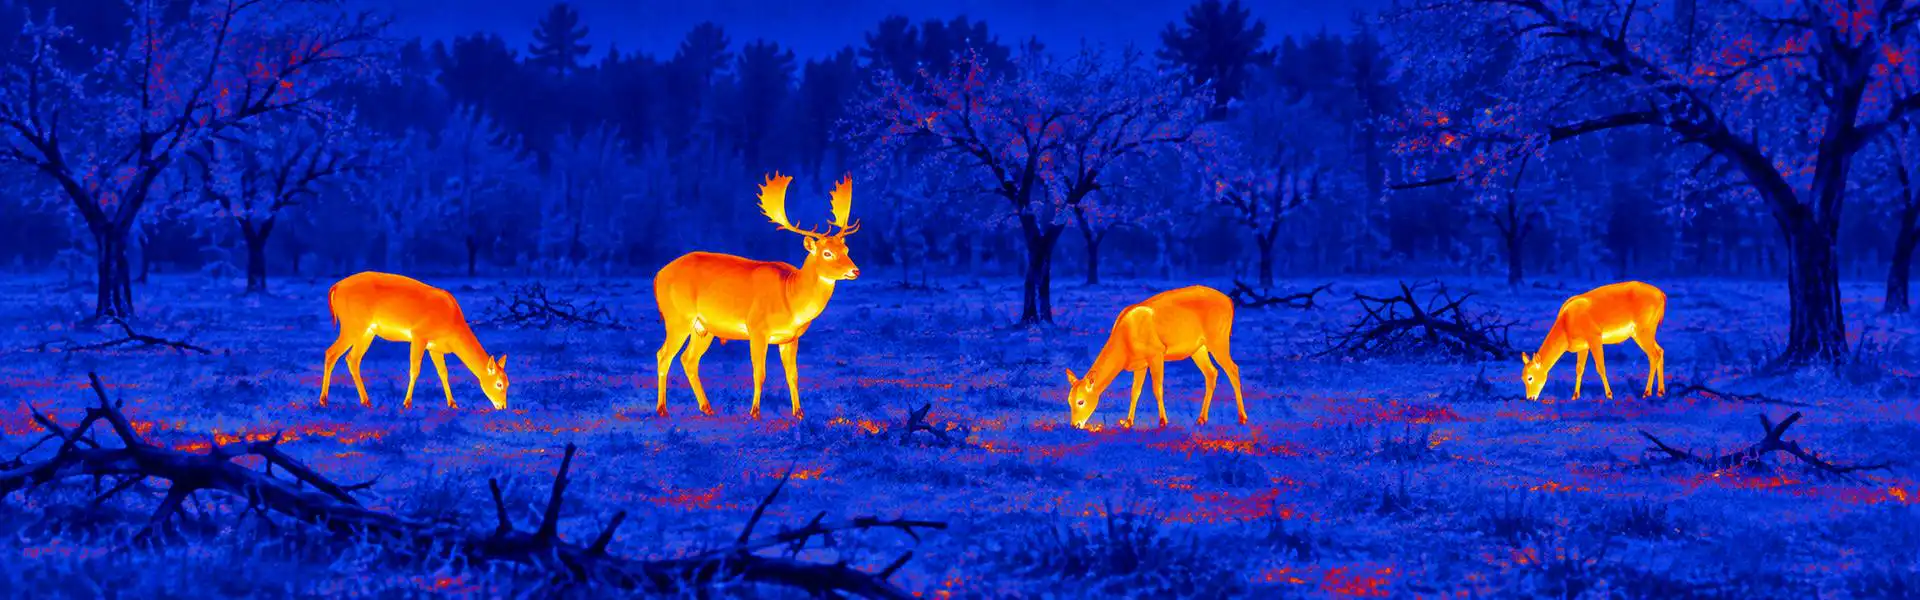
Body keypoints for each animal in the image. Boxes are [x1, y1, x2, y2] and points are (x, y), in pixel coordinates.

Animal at [319, 272, 510, 410]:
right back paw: (323, 400)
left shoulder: (435, 347)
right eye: (499, 384)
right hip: (352, 327)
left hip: (367, 332)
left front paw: (453, 403)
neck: (452, 322)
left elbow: (443, 373)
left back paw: (366, 401)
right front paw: (407, 403)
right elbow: (415, 370)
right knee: (331, 353)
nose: (502, 406)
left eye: (508, 383)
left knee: (352, 359)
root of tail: (336, 287)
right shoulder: (419, 336)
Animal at [653, 172, 861, 420]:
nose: (855, 270)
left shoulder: (790, 338)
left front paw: (798, 412)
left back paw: (707, 407)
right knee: (663, 355)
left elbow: (793, 375)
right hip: (677, 318)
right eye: (827, 253)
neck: (790, 296)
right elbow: (759, 372)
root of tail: (658, 276)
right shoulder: (757, 328)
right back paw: (662, 409)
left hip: (703, 328)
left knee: (689, 360)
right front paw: (755, 412)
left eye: (846, 250)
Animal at [1065, 285, 1247, 429]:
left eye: (1081, 401)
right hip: (1198, 348)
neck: (1125, 342)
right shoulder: (1140, 364)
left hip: (1219, 339)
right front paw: (1128, 422)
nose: (1075, 425)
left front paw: (1162, 421)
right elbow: (1135, 392)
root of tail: (1230, 303)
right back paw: (1202, 418)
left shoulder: (1156, 353)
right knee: (1211, 373)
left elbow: (1157, 388)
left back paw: (1242, 417)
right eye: (1068, 400)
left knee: (1233, 369)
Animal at [1521, 281, 1667, 402]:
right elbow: (1579, 369)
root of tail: (1662, 294)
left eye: (1530, 377)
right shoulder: (1583, 347)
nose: (1530, 398)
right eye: (1522, 377)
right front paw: (1575, 396)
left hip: (1643, 331)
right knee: (1660, 351)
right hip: (1644, 333)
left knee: (1654, 355)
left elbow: (1600, 367)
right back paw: (1660, 392)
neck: (1566, 323)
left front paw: (1609, 395)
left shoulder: (1594, 338)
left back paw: (1647, 392)